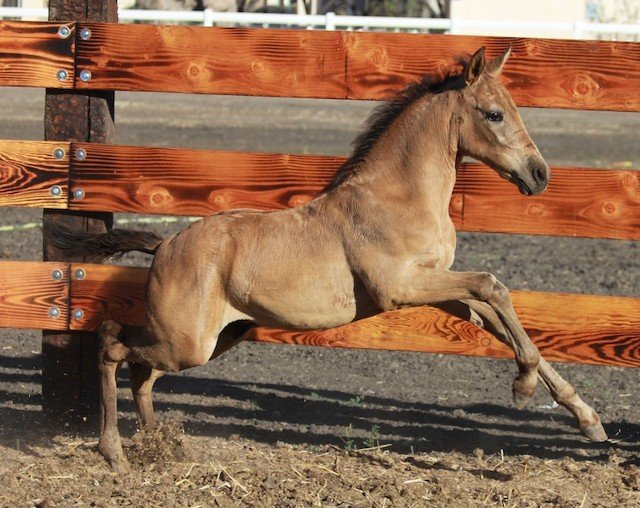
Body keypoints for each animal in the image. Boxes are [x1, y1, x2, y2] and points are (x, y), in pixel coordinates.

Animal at [47, 46, 607, 472]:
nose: (539, 175)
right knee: (112, 345)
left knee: (141, 372)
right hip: (184, 341)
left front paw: (587, 419)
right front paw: (524, 387)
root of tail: (165, 245)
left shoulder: (437, 286)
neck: (400, 195)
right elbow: (493, 285)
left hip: (212, 339)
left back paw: (161, 445)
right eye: (493, 113)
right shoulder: (399, 288)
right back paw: (116, 453)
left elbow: (494, 315)